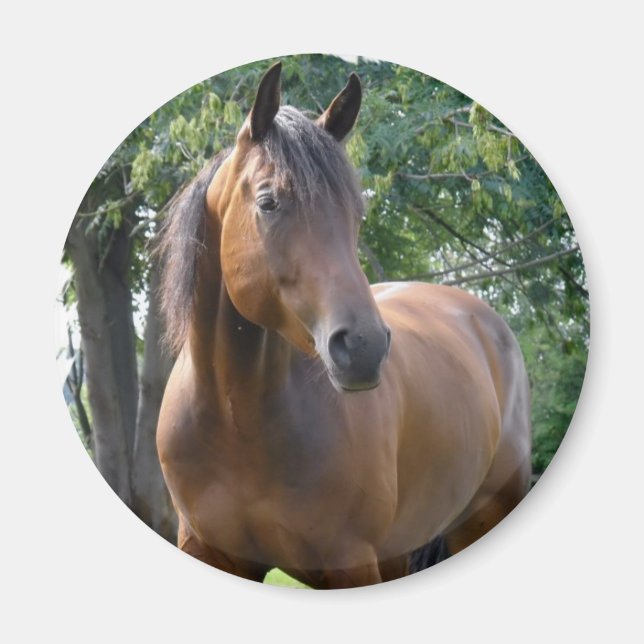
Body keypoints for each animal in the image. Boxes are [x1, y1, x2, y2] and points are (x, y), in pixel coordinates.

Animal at [156, 62, 532, 589]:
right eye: (269, 202)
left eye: (356, 212)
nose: (364, 347)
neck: (236, 421)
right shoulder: (208, 551)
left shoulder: (349, 562)